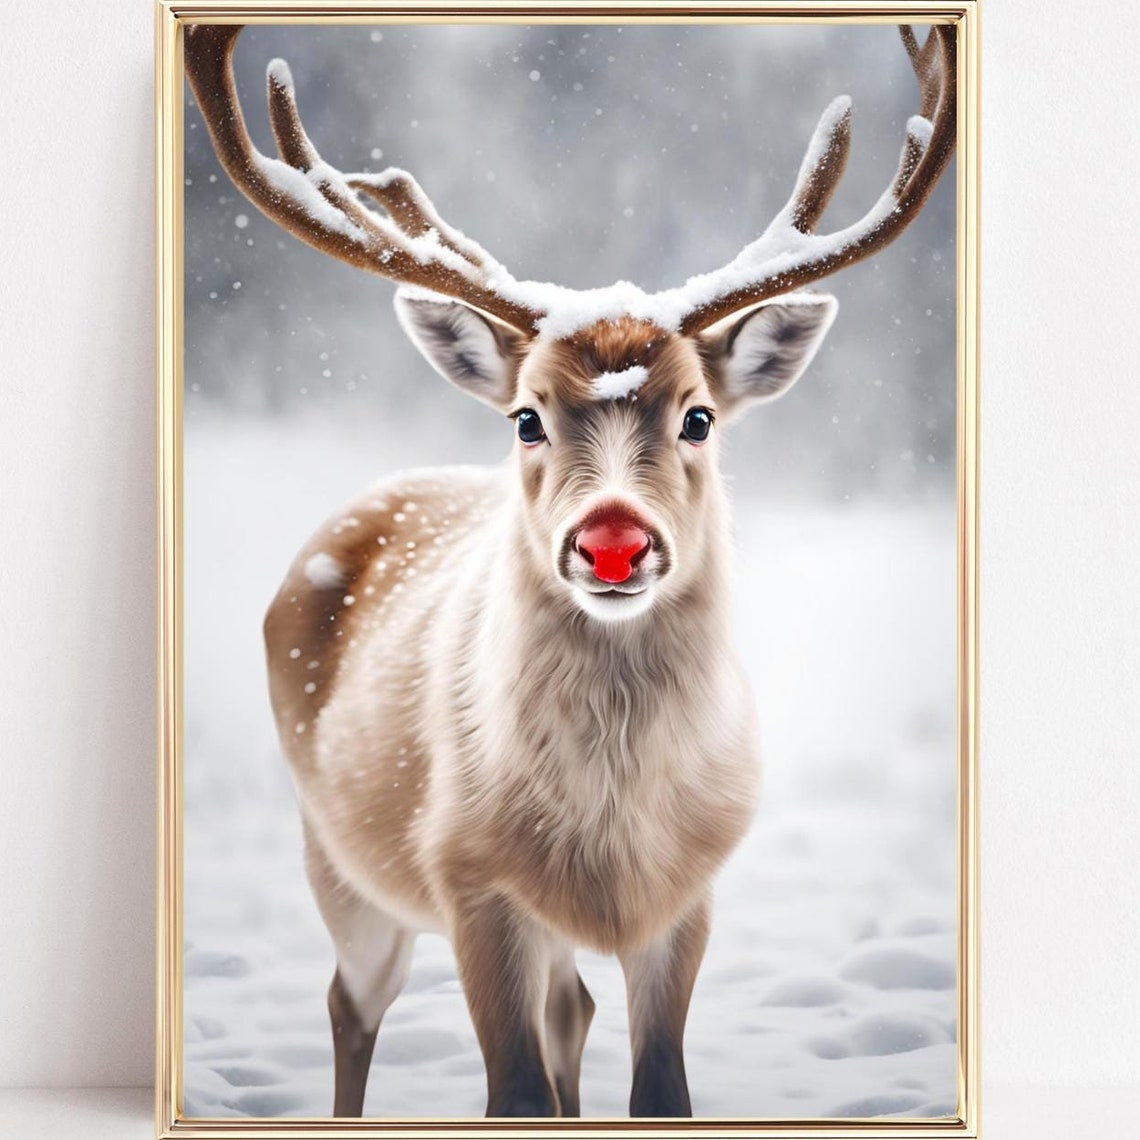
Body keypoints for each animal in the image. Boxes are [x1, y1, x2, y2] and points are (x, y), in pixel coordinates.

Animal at [184, 23, 956, 1119]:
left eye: (699, 416)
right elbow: (510, 1091)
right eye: (526, 417)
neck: (610, 842)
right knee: (349, 1001)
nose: (614, 541)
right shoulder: (468, 878)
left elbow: (659, 1090)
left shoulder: (687, 895)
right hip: (336, 858)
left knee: (569, 1009)